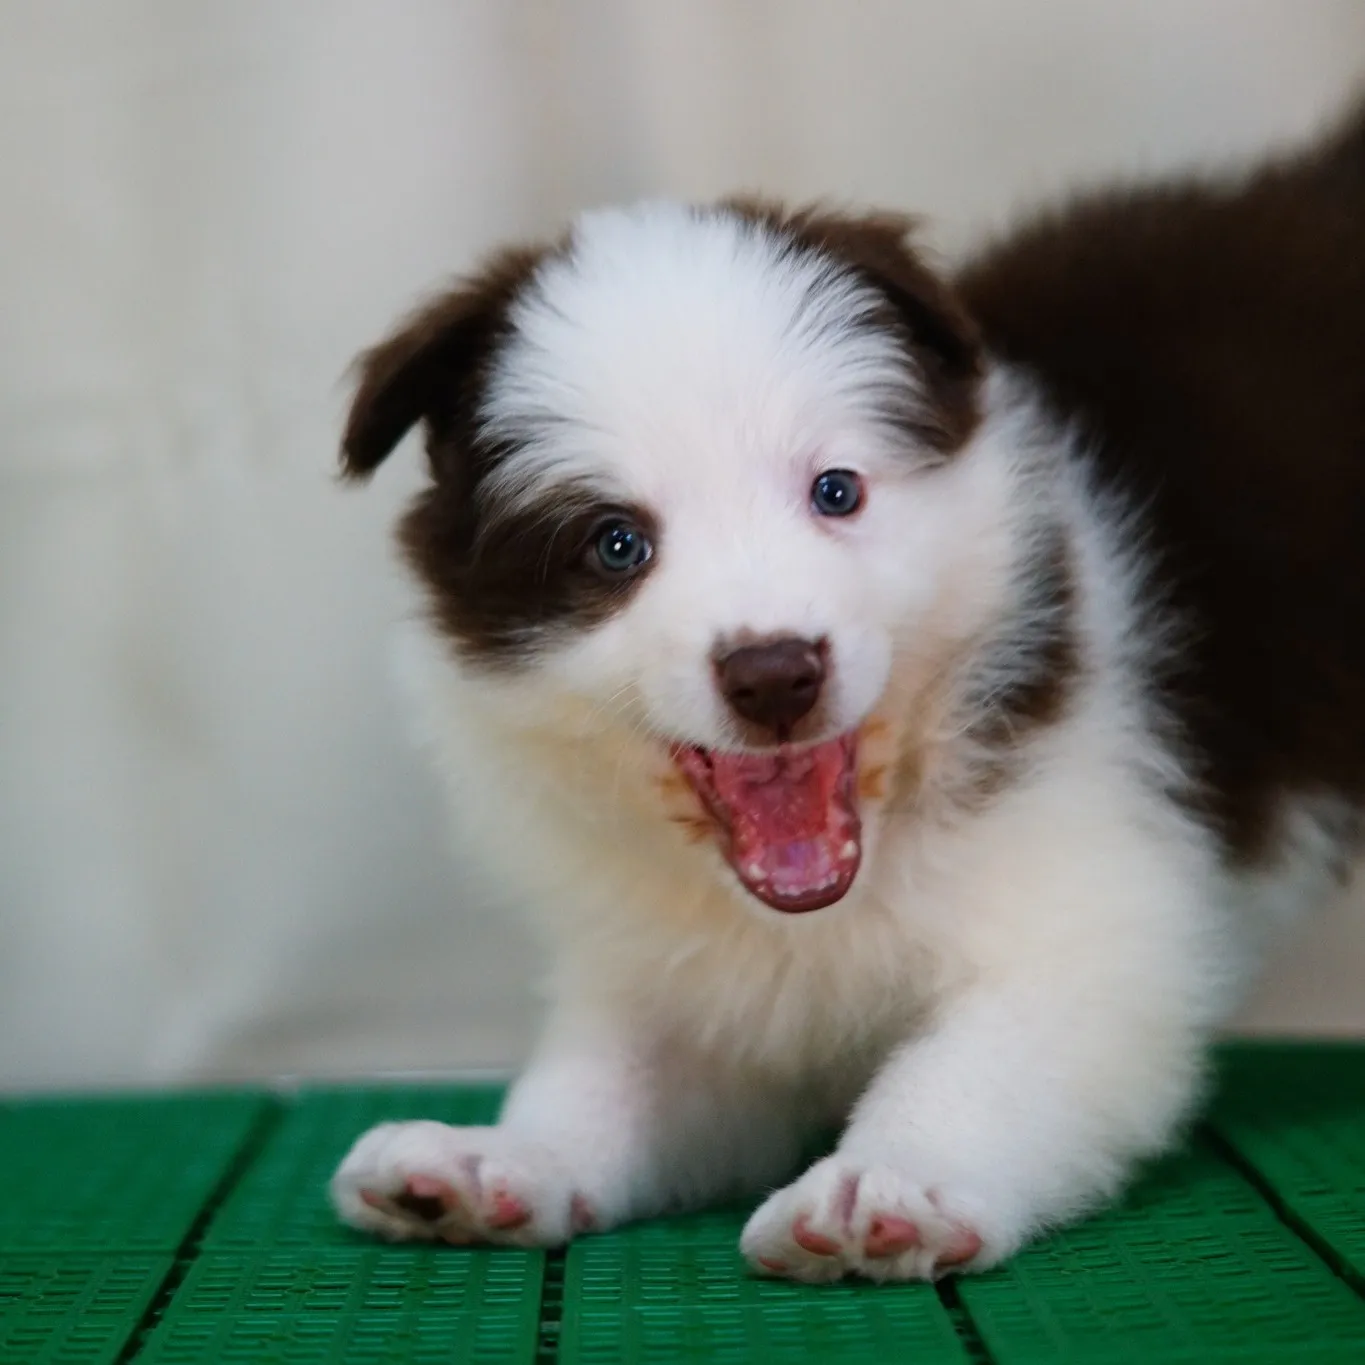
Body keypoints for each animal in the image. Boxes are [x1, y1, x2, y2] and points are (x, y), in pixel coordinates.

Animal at [329, 103, 1365, 1282]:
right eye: (615, 544)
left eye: (836, 491)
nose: (774, 669)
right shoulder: (692, 976)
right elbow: (619, 1080)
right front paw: (506, 1157)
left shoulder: (1092, 910)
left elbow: (985, 1058)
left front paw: (895, 1175)